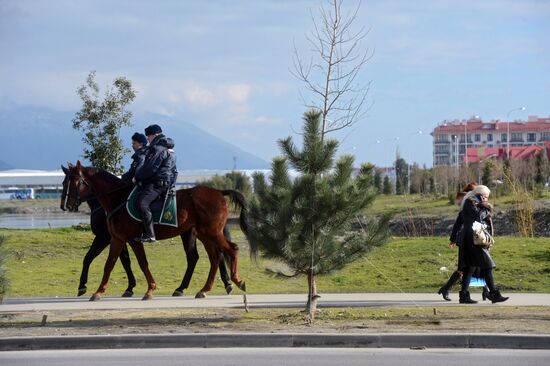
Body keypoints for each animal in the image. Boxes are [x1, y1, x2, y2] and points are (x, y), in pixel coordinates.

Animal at [62, 162, 248, 302]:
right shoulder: (117, 239)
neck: (119, 199)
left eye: (76, 181)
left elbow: (142, 263)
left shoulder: (127, 239)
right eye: (64, 183)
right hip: (204, 234)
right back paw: (204, 289)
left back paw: (236, 281)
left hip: (211, 233)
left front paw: (149, 289)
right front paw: (99, 291)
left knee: (231, 249)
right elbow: (110, 264)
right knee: (214, 257)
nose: (66, 205)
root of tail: (219, 192)